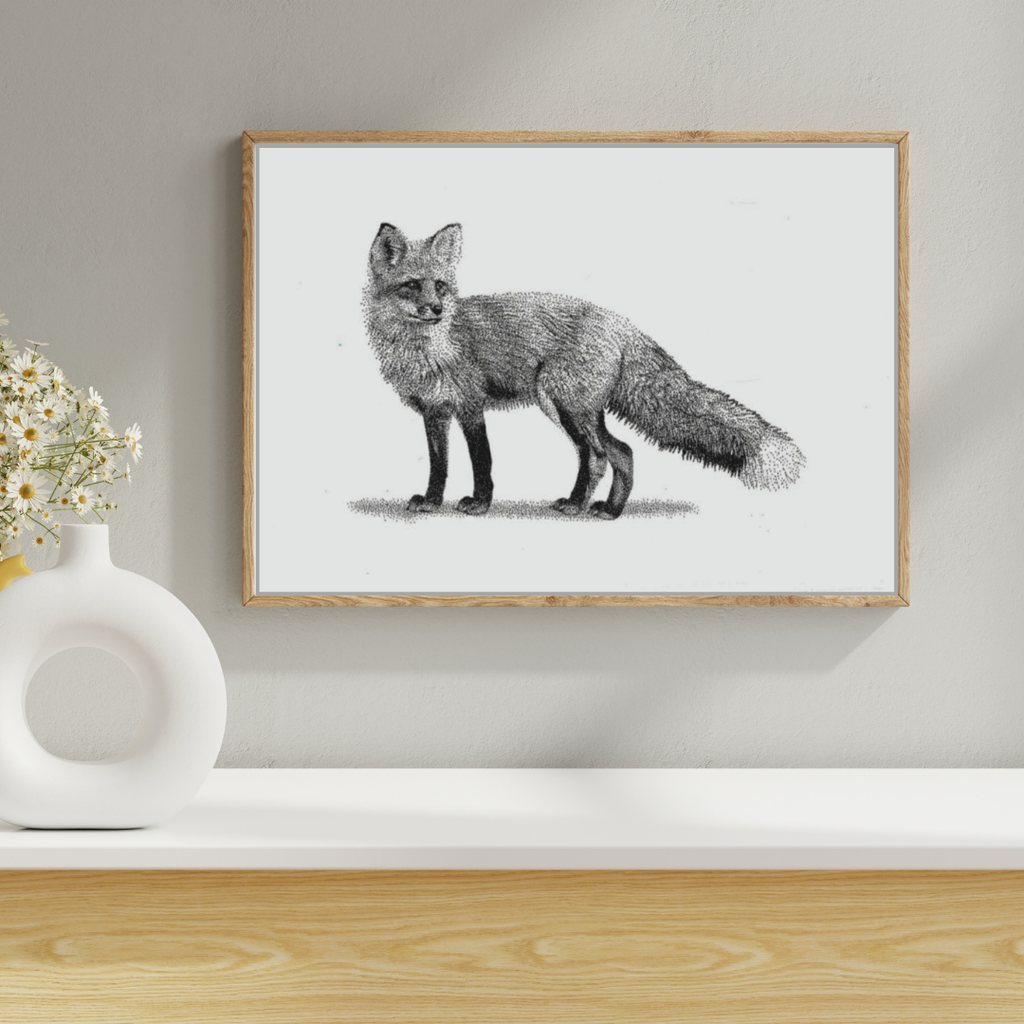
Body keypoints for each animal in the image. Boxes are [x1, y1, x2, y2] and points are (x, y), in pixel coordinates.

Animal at [362, 222, 804, 520]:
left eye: (440, 285)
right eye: (412, 285)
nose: (436, 309)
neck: (426, 349)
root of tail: (624, 325)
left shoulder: (470, 406)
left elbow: (481, 461)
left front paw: (480, 504)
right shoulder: (434, 412)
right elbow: (439, 464)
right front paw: (431, 502)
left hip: (566, 406)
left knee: (617, 452)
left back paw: (607, 511)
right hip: (566, 410)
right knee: (599, 458)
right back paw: (583, 504)